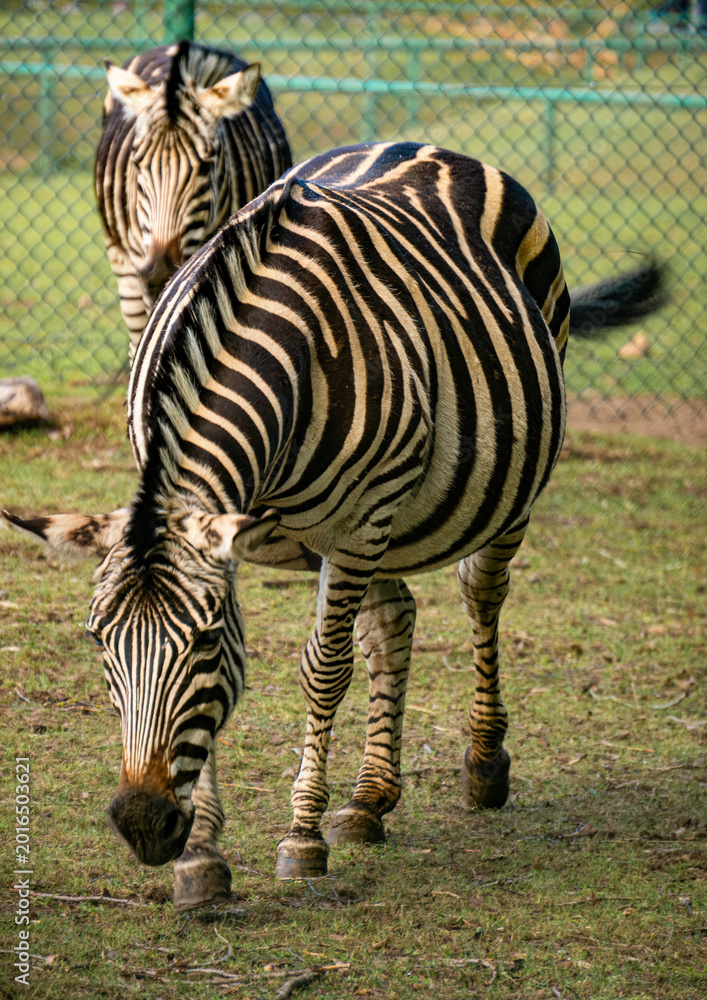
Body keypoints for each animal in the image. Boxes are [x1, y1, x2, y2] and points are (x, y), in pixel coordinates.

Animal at [3, 142, 665, 911]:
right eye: (96, 640)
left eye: (203, 643)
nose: (143, 824)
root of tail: (426, 146)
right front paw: (202, 857)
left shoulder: (357, 521)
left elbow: (322, 671)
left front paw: (300, 836)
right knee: (394, 618)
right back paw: (370, 798)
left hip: (486, 488)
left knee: (480, 593)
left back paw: (481, 764)